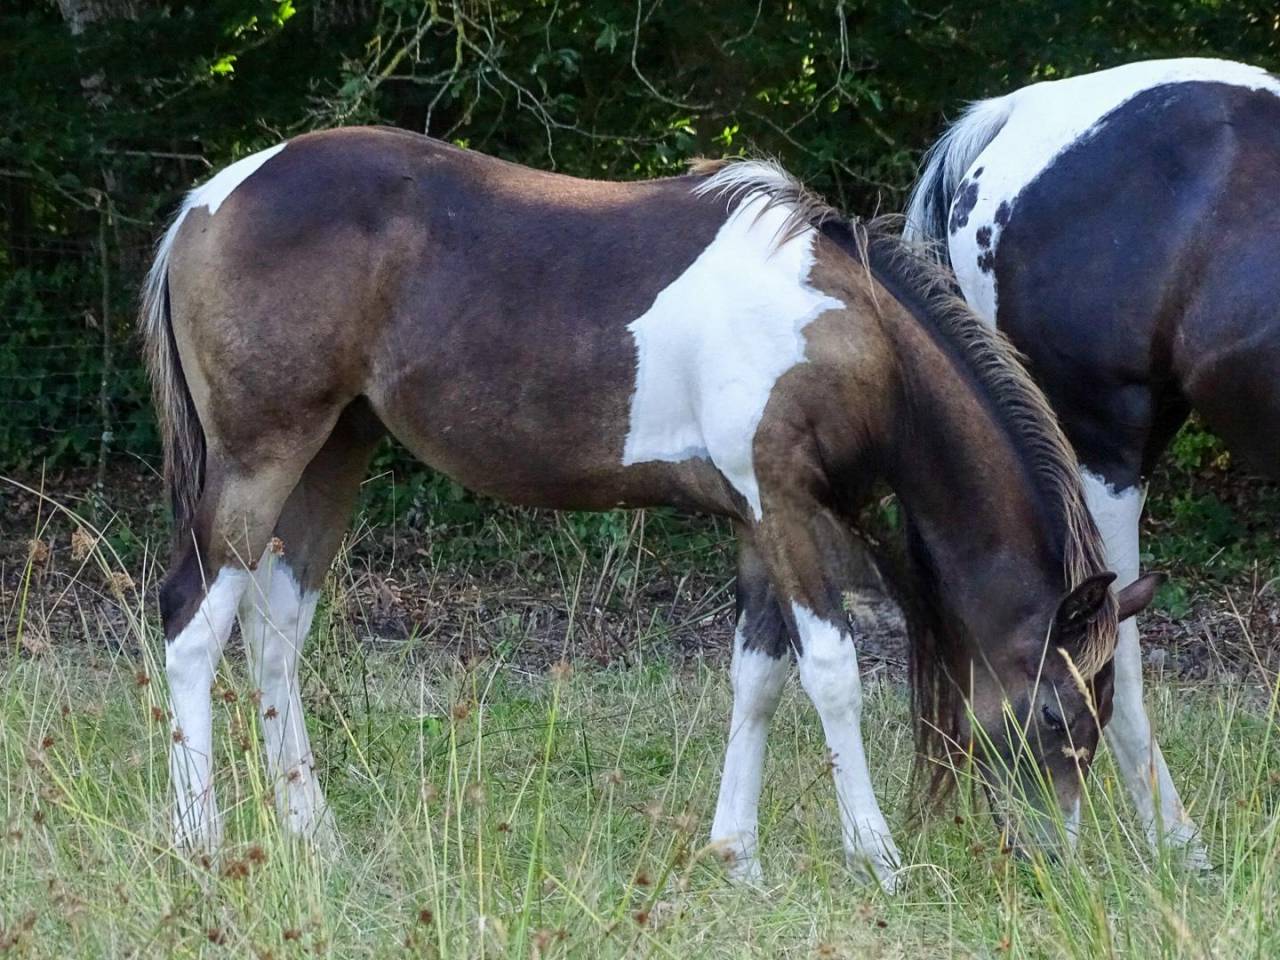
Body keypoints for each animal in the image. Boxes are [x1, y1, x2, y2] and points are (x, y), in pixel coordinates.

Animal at [140, 128, 1156, 891]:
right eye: (1058, 720)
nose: (1052, 862)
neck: (854, 332)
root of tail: (211, 200)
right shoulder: (787, 506)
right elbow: (831, 671)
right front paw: (877, 858)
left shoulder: (756, 520)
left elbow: (758, 677)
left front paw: (736, 857)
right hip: (260, 459)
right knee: (193, 623)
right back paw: (198, 844)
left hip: (333, 452)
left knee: (275, 632)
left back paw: (314, 837)